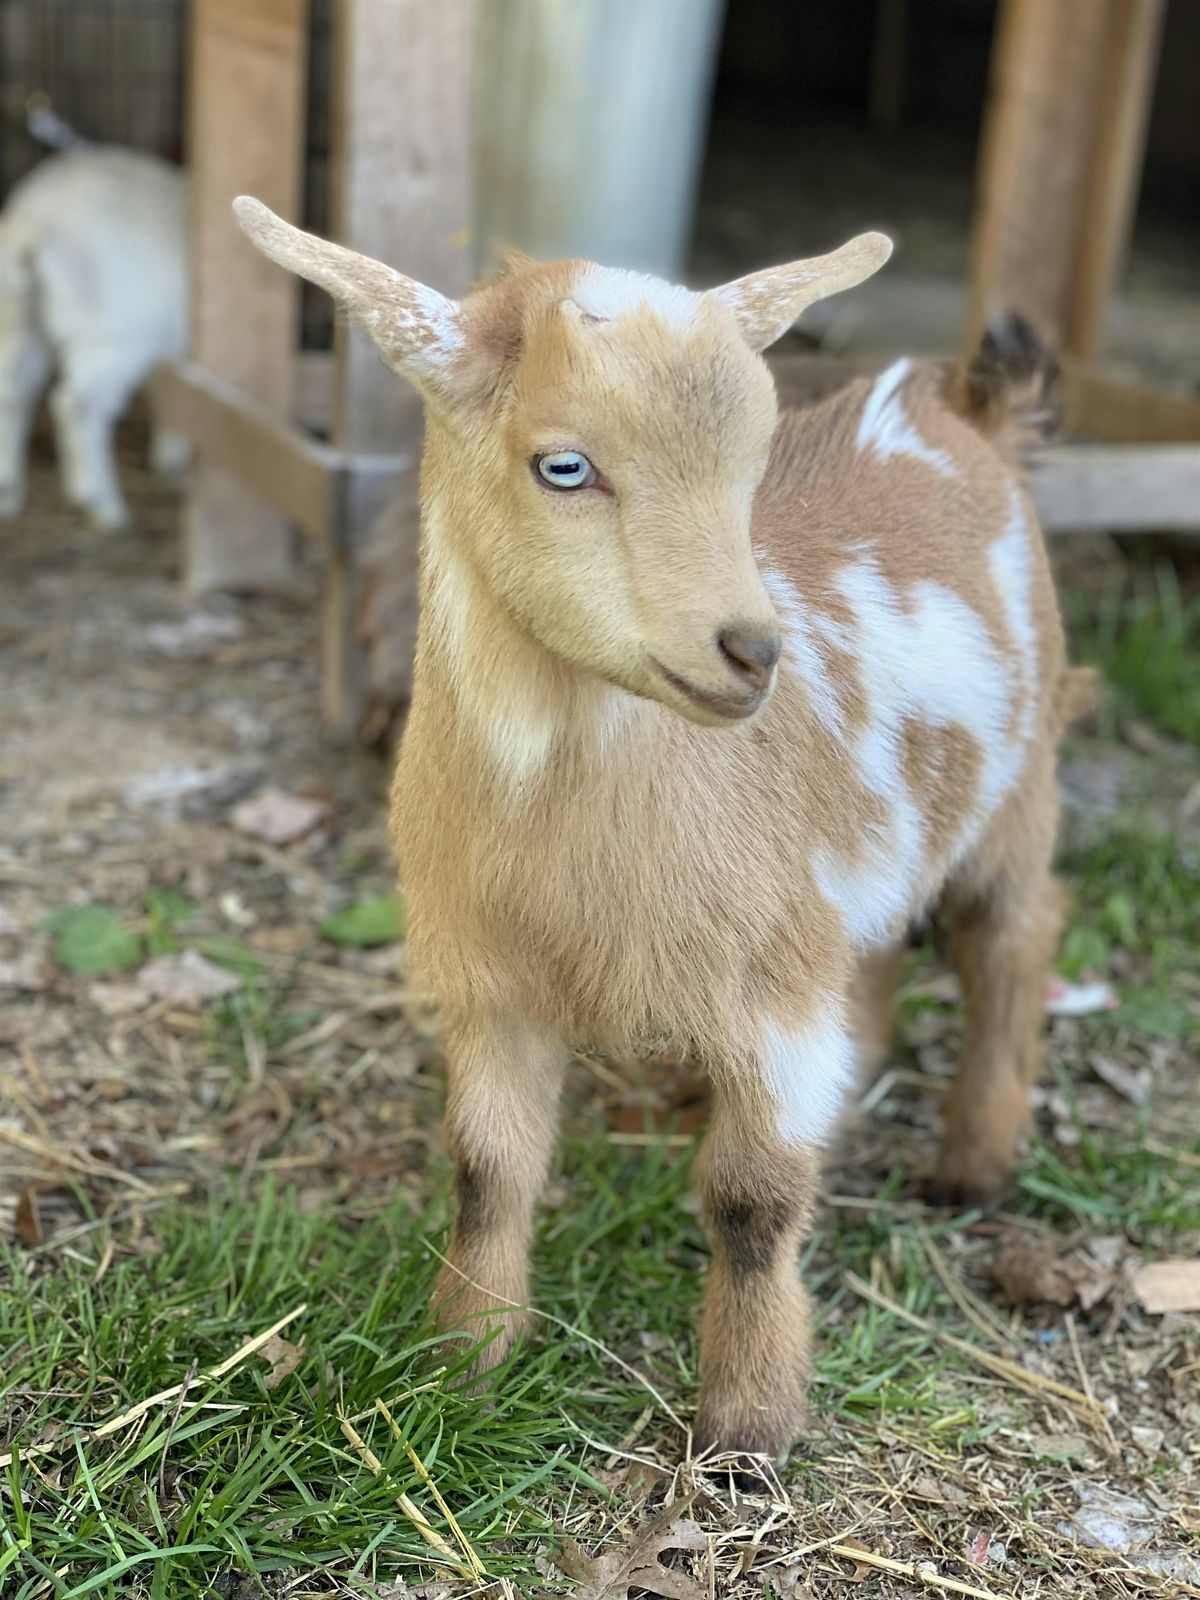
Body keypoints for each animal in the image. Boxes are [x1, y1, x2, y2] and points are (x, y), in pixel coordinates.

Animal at [0, 146, 188, 529]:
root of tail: (32, 219)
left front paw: (170, 459)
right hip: (111, 333)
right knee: (75, 404)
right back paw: (102, 504)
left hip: (21, 315)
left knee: (12, 390)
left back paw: (8, 493)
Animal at [235, 195, 1083, 1470]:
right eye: (565, 465)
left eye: (751, 467)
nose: (755, 651)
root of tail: (959, 411)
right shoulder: (489, 983)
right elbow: (488, 1168)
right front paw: (464, 1363)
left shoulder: (771, 999)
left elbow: (751, 1199)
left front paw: (746, 1428)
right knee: (884, 935)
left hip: (1017, 790)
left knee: (1013, 938)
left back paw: (974, 1162)